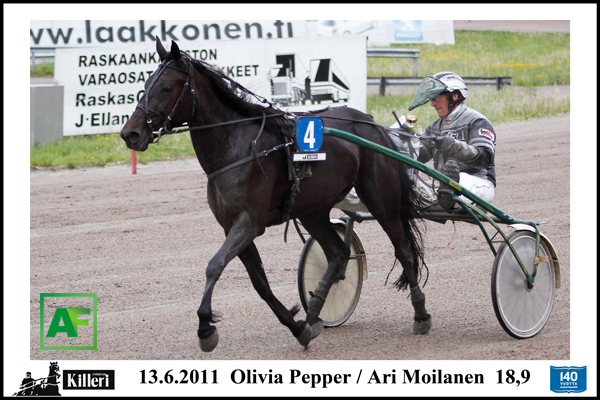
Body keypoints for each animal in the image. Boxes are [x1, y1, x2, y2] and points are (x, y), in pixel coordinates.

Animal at [120, 38, 430, 352]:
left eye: (166, 87)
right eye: (145, 84)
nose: (130, 134)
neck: (236, 146)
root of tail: (368, 121)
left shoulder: (249, 222)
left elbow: (214, 266)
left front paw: (205, 327)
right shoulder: (231, 226)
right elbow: (260, 283)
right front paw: (297, 327)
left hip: (381, 199)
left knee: (403, 249)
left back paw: (420, 315)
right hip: (313, 210)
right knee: (338, 253)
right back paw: (313, 315)